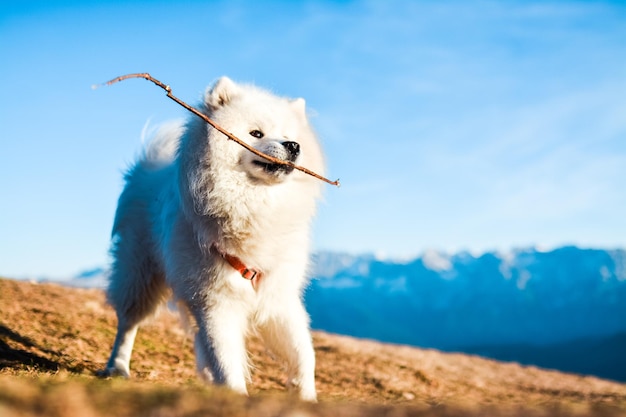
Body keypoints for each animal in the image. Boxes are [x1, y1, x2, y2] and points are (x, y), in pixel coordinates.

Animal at [100, 77, 324, 400]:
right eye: (255, 133)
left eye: (288, 136)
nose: (293, 146)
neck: (255, 206)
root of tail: (148, 169)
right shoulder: (215, 302)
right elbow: (226, 360)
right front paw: (236, 396)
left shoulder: (278, 298)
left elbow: (303, 353)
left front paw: (306, 396)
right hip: (139, 273)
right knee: (128, 322)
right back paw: (117, 367)